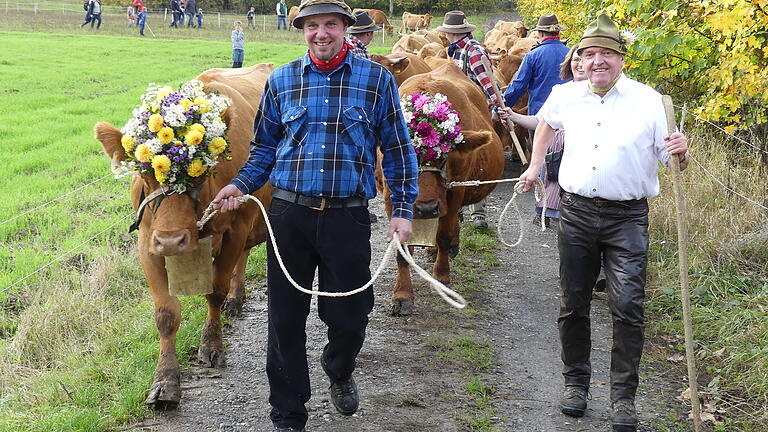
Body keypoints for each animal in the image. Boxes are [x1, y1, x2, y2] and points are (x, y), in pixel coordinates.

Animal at [91, 62, 274, 406]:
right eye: (145, 176)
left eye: (201, 174)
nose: (171, 241)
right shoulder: (147, 242)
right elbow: (166, 314)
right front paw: (165, 380)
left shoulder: (236, 229)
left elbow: (214, 291)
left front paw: (211, 346)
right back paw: (237, 299)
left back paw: (234, 298)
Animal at [376, 62, 504, 316]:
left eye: (445, 157)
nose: (426, 208)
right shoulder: (390, 196)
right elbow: (402, 248)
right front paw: (402, 295)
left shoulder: (454, 192)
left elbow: (444, 234)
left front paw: (442, 277)